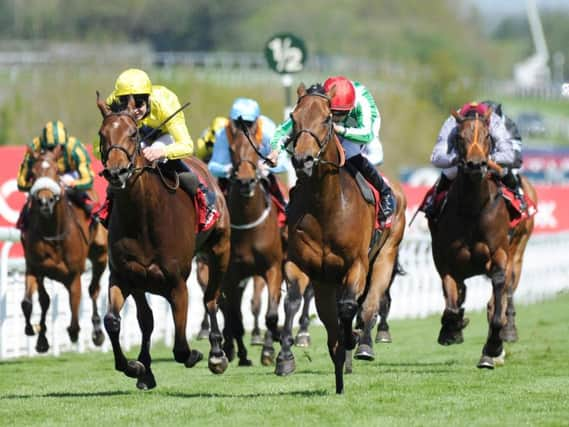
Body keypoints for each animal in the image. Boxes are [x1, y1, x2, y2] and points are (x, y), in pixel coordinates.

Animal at [20, 145, 107, 352]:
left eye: (56, 171)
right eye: (33, 174)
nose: (45, 202)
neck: (52, 232)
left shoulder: (74, 275)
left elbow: (75, 307)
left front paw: (74, 333)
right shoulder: (35, 268)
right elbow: (32, 302)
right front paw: (37, 335)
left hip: (101, 255)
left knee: (94, 289)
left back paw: (97, 332)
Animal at [96, 95, 231, 390]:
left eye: (133, 134)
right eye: (102, 134)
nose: (117, 173)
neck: (144, 219)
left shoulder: (177, 283)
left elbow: (180, 347)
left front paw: (194, 354)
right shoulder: (126, 276)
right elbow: (117, 321)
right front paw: (136, 367)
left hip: (219, 251)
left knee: (211, 298)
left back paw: (217, 353)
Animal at [274, 83, 404, 394]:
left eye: (327, 119)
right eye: (293, 117)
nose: (302, 160)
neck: (326, 204)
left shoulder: (355, 264)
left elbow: (349, 306)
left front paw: (352, 339)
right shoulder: (299, 263)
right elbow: (292, 300)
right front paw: (285, 358)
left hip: (384, 256)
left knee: (369, 303)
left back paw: (363, 344)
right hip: (325, 283)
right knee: (330, 322)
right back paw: (339, 369)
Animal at [430, 108, 536, 370]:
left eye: (488, 135)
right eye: (459, 137)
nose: (476, 164)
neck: (472, 209)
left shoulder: (499, 256)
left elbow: (497, 307)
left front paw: (493, 348)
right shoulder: (445, 262)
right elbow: (452, 304)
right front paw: (452, 330)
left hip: (518, 251)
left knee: (504, 295)